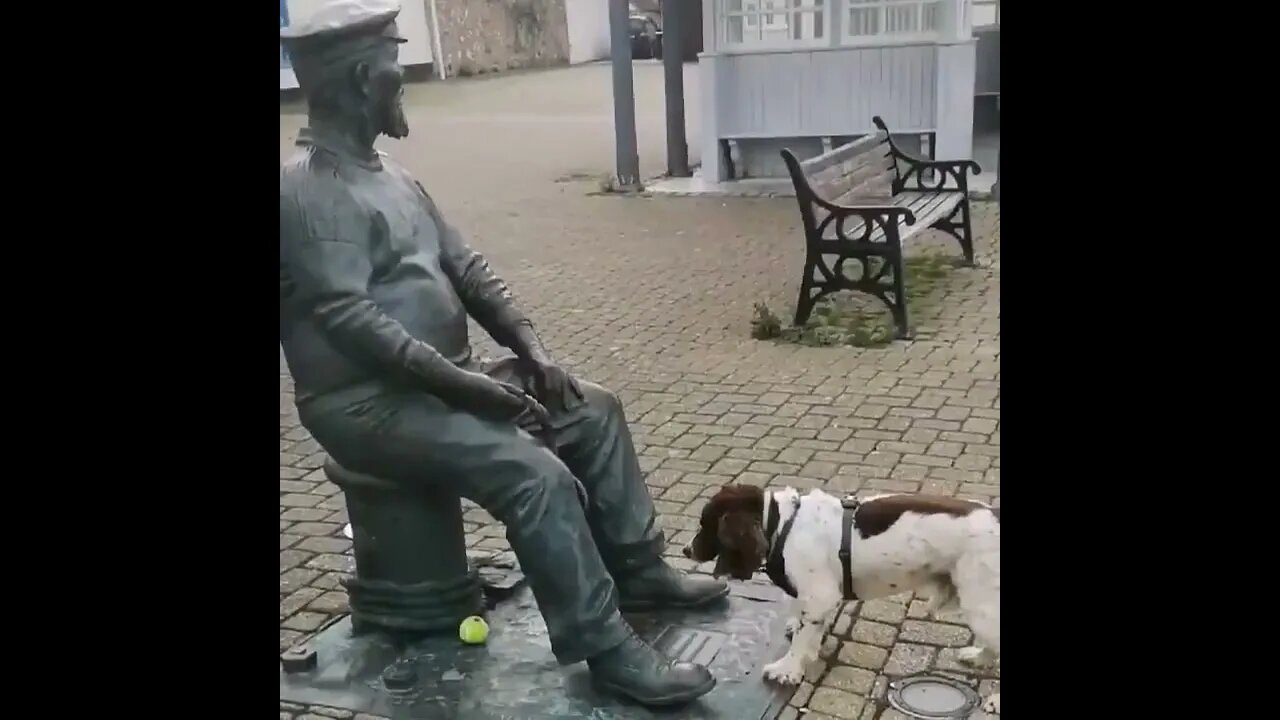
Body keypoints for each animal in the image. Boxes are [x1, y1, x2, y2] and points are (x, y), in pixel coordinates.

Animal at [680, 481, 998, 712]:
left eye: (706, 524)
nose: (685, 550)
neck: (782, 526)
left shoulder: (819, 595)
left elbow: (799, 641)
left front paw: (787, 670)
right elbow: (808, 629)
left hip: (981, 601)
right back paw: (978, 657)